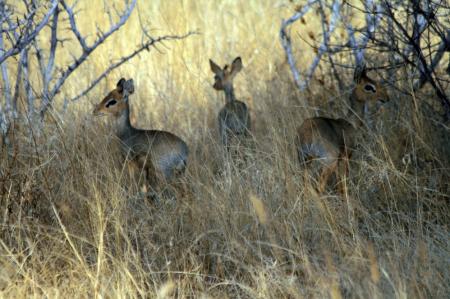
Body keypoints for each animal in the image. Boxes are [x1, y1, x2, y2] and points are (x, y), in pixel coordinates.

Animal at [298, 65, 388, 195]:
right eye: (368, 86)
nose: (386, 98)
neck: (350, 123)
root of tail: (308, 132)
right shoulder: (346, 156)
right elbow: (343, 181)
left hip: (305, 161)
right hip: (329, 161)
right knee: (320, 186)